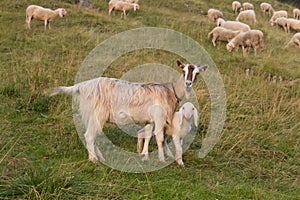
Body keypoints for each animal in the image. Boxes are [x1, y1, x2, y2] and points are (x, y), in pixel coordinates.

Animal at [49, 60, 209, 162]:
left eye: (197, 73)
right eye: (183, 70)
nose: (188, 83)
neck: (169, 91)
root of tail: (83, 86)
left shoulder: (150, 120)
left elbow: (147, 136)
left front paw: (144, 155)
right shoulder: (159, 118)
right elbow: (160, 138)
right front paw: (162, 159)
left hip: (90, 114)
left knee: (91, 136)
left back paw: (100, 157)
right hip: (98, 114)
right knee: (89, 135)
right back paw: (94, 159)